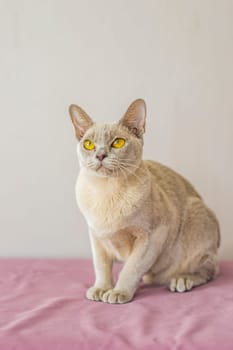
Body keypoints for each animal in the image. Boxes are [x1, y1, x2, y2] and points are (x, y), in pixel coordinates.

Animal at [68, 98, 219, 304]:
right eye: (89, 145)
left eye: (118, 143)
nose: (100, 155)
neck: (106, 192)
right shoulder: (97, 237)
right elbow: (101, 267)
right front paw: (101, 289)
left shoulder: (151, 237)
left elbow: (130, 269)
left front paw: (118, 292)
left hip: (196, 218)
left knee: (209, 269)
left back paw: (181, 280)